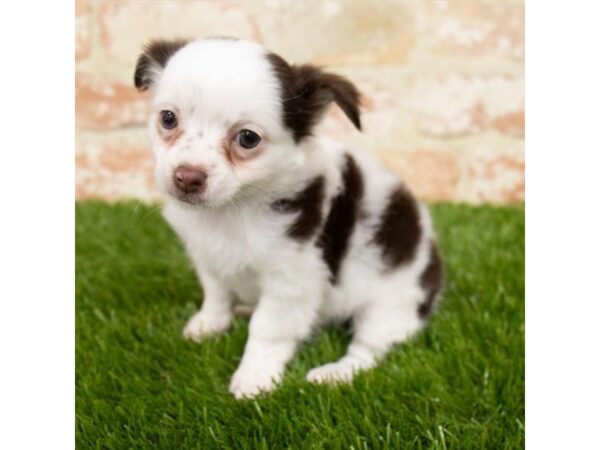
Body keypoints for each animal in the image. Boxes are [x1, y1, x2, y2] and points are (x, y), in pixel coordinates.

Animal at [135, 37, 440, 400]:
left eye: (248, 138)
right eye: (168, 119)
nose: (188, 177)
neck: (232, 210)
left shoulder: (291, 278)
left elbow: (268, 329)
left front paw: (254, 377)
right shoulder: (207, 256)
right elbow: (217, 292)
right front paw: (210, 323)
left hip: (391, 305)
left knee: (367, 351)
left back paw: (334, 374)